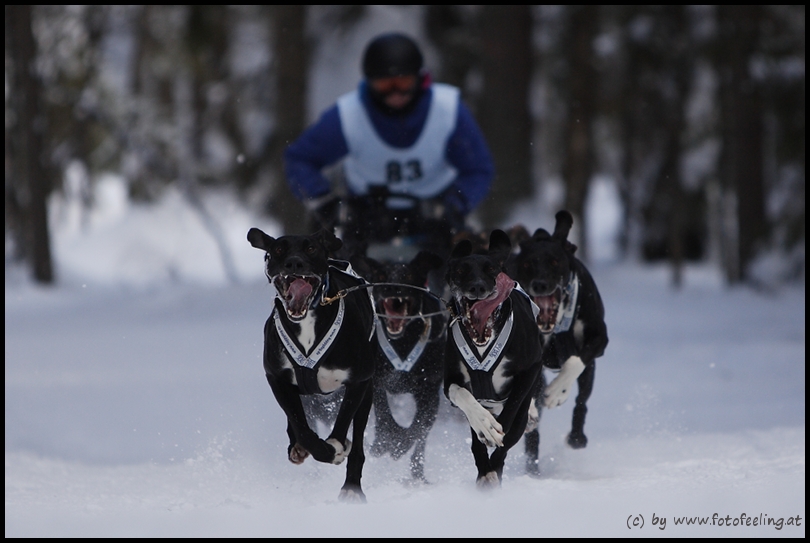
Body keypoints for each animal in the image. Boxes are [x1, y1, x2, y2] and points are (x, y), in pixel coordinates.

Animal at [246, 228, 376, 502]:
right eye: (278, 249)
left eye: (311, 248)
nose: (294, 263)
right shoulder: (277, 378)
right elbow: (302, 428)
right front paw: (316, 446)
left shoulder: (358, 381)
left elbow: (342, 423)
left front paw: (336, 447)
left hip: (368, 390)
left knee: (358, 439)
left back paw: (351, 486)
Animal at [360, 249, 446, 482]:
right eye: (381, 277)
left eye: (407, 276)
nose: (392, 287)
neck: (403, 341)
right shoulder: (377, 381)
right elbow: (383, 412)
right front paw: (384, 441)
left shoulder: (429, 391)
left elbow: (419, 426)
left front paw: (400, 443)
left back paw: (418, 475)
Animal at [442, 230, 544, 488]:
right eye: (461, 270)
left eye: (491, 269)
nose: (477, 287)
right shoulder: (451, 382)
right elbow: (463, 396)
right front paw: (484, 425)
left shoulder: (531, 368)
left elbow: (511, 413)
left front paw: (496, 431)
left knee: (513, 431)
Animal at [512, 210, 608, 474]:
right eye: (526, 264)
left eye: (555, 262)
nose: (539, 284)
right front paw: (531, 409)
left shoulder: (599, 338)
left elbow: (575, 362)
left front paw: (557, 392)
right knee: (532, 436)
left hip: (591, 371)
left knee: (581, 400)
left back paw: (576, 436)